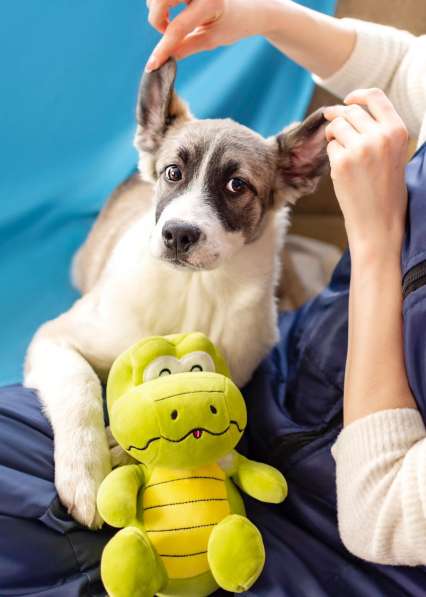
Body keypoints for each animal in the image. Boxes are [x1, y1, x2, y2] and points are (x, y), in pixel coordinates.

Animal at [24, 60, 330, 528]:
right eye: (172, 173)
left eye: (237, 185)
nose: (178, 234)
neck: (193, 291)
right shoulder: (56, 338)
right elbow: (80, 387)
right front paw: (85, 473)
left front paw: (120, 447)